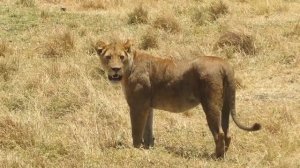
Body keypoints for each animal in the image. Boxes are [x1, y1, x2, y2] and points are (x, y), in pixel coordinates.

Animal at [94, 38, 260, 158]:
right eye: (108, 57)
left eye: (121, 57)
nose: (115, 69)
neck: (129, 67)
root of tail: (225, 64)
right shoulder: (148, 106)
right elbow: (148, 129)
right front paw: (148, 147)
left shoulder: (138, 106)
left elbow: (136, 129)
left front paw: (136, 149)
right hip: (226, 104)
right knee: (228, 132)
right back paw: (223, 154)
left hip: (211, 104)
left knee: (219, 133)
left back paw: (215, 156)